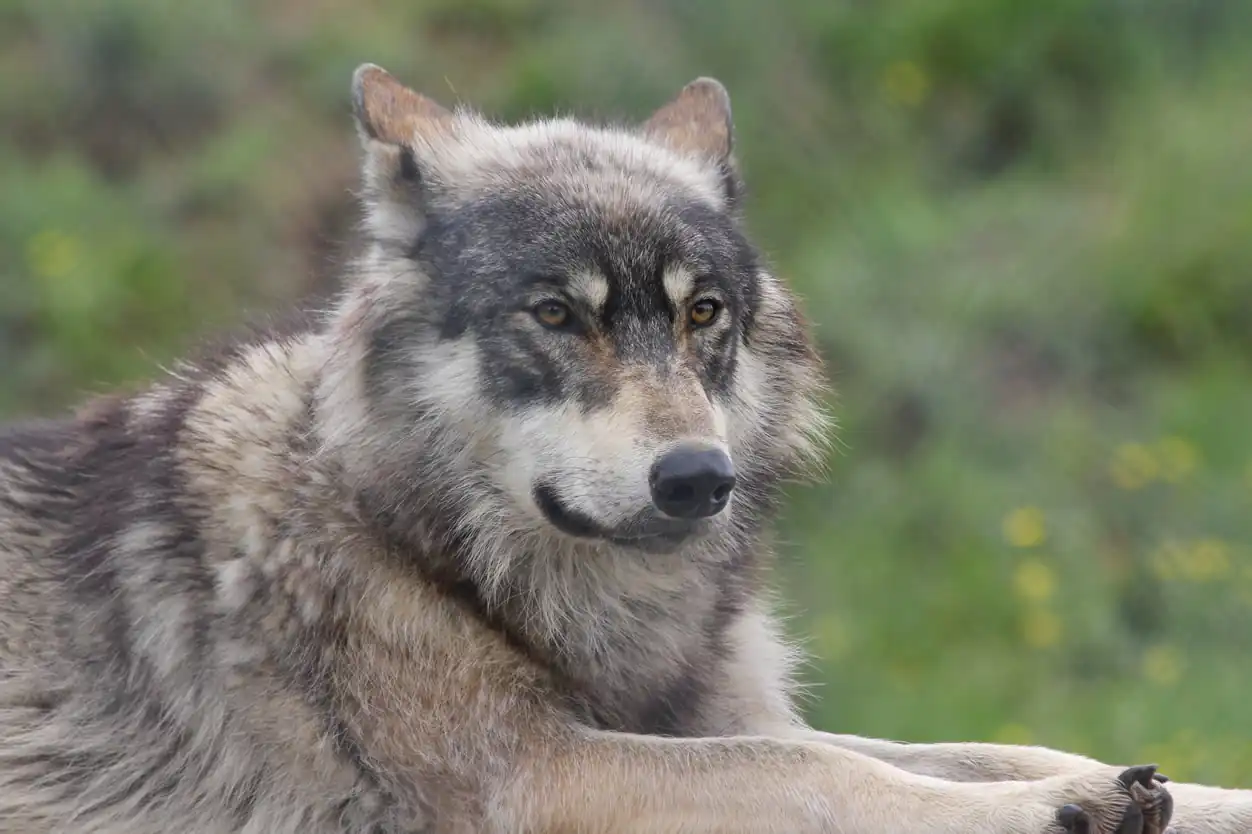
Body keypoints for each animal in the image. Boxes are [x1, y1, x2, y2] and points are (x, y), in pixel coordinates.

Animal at [0, 62, 1246, 834]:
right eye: (558, 315)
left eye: (703, 314)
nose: (698, 478)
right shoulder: (539, 775)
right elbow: (814, 770)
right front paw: (1054, 811)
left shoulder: (704, 717)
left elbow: (972, 750)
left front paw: (1141, 790)